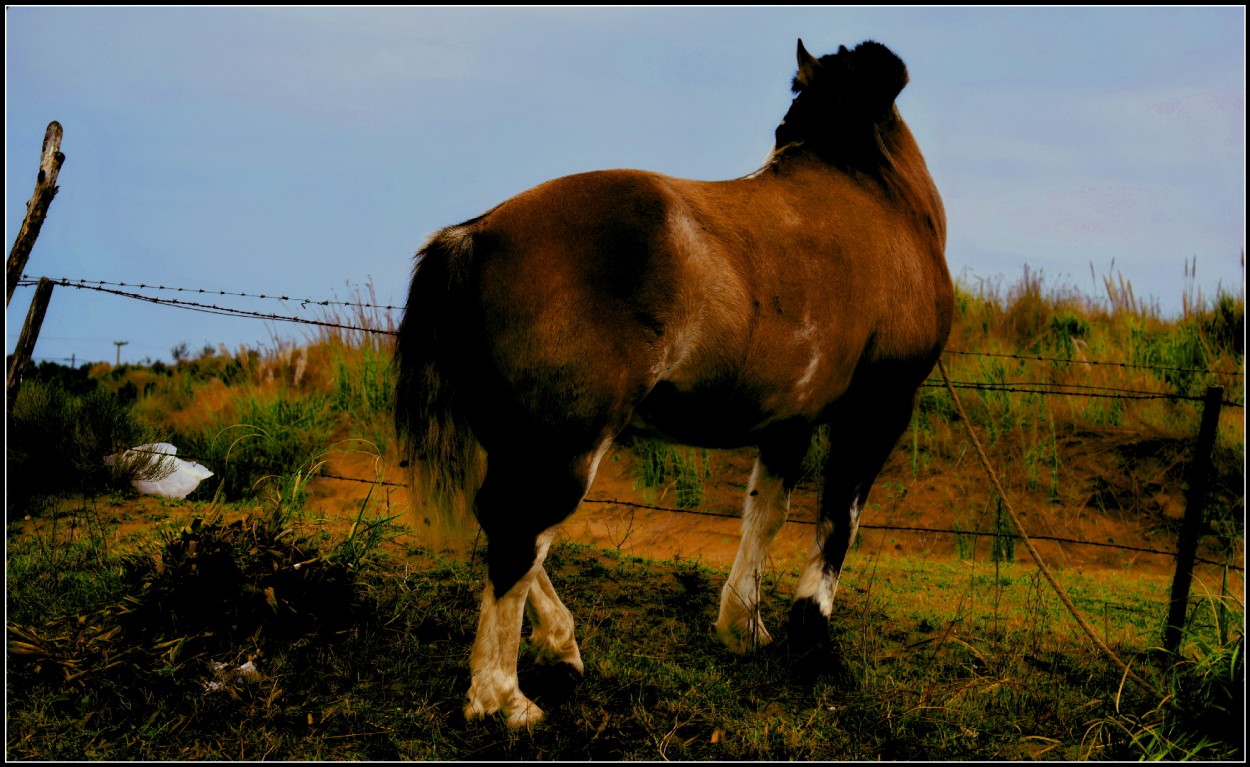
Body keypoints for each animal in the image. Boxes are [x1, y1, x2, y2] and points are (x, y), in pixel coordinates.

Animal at [395, 40, 950, 729]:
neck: (872, 197)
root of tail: (479, 233)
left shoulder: (788, 422)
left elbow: (765, 516)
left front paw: (744, 628)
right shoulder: (878, 409)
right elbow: (837, 523)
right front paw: (813, 646)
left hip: (518, 437)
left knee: (502, 524)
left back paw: (560, 647)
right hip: (567, 444)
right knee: (519, 533)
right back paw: (504, 699)